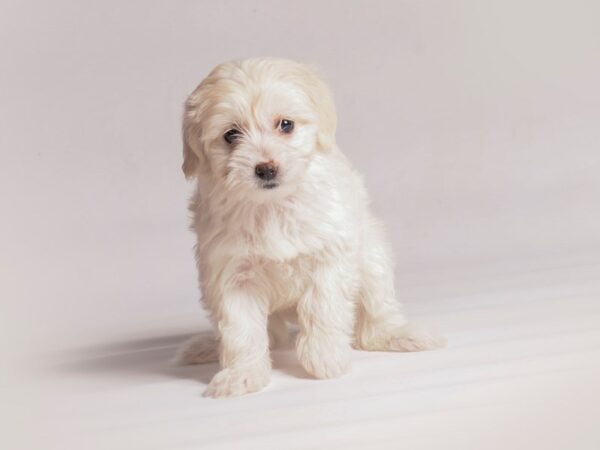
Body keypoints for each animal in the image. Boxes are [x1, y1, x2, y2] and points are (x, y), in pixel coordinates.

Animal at [176, 57, 442, 398]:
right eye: (231, 135)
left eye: (286, 125)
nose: (266, 168)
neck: (273, 204)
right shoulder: (232, 275)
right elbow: (240, 330)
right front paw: (242, 375)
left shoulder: (329, 256)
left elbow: (322, 306)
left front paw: (324, 357)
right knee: (270, 336)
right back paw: (210, 346)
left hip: (372, 257)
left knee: (376, 312)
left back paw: (399, 335)